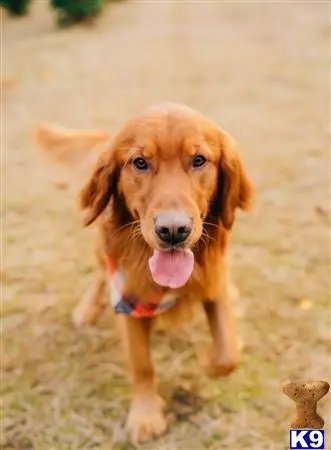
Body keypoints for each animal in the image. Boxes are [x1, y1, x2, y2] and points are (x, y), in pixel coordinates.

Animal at [35, 103, 254, 442]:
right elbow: (142, 365)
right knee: (99, 270)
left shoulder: (212, 280)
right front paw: (145, 414)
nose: (173, 230)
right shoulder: (130, 300)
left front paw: (208, 363)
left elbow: (227, 353)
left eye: (199, 160)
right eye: (140, 162)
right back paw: (86, 309)